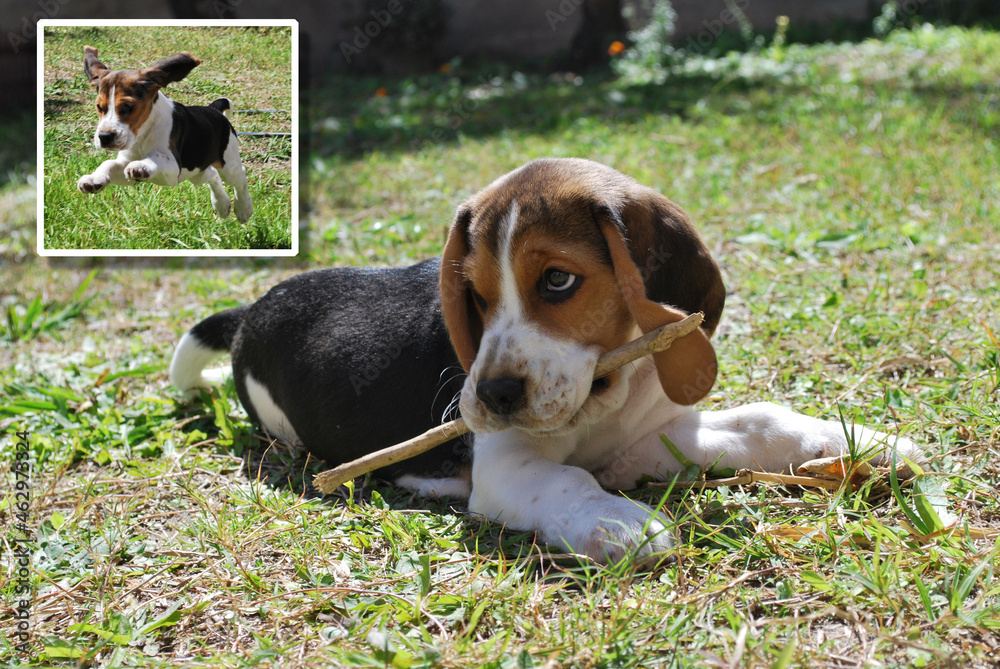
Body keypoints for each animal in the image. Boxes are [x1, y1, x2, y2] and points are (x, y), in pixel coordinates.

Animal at [77, 48, 254, 224]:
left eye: (128, 107)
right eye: (99, 107)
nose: (104, 136)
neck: (143, 133)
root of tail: (214, 109)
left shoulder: (173, 168)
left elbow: (154, 154)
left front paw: (141, 166)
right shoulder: (125, 165)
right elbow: (108, 164)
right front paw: (94, 179)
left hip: (228, 165)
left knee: (240, 177)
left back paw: (244, 208)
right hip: (196, 169)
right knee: (212, 175)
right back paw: (222, 205)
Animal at [168, 159, 916, 560]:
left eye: (557, 281)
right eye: (472, 295)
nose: (493, 397)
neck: (604, 400)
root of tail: (251, 311)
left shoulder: (647, 438)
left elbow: (761, 421)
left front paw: (857, 442)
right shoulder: (509, 467)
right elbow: (568, 483)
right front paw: (624, 522)